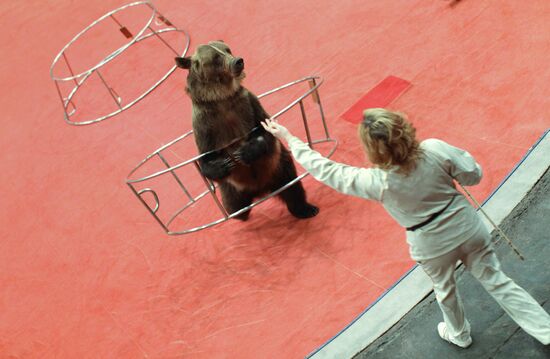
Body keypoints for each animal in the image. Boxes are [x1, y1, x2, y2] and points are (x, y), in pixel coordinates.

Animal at [175, 41, 322, 222]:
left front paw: (246, 152)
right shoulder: (205, 126)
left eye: (227, 49)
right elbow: (205, 158)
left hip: (279, 166)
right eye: (215, 57)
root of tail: (261, 190)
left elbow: (266, 131)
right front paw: (222, 164)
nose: (238, 61)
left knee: (293, 187)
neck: (222, 99)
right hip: (231, 190)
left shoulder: (249, 105)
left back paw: (306, 209)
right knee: (235, 210)